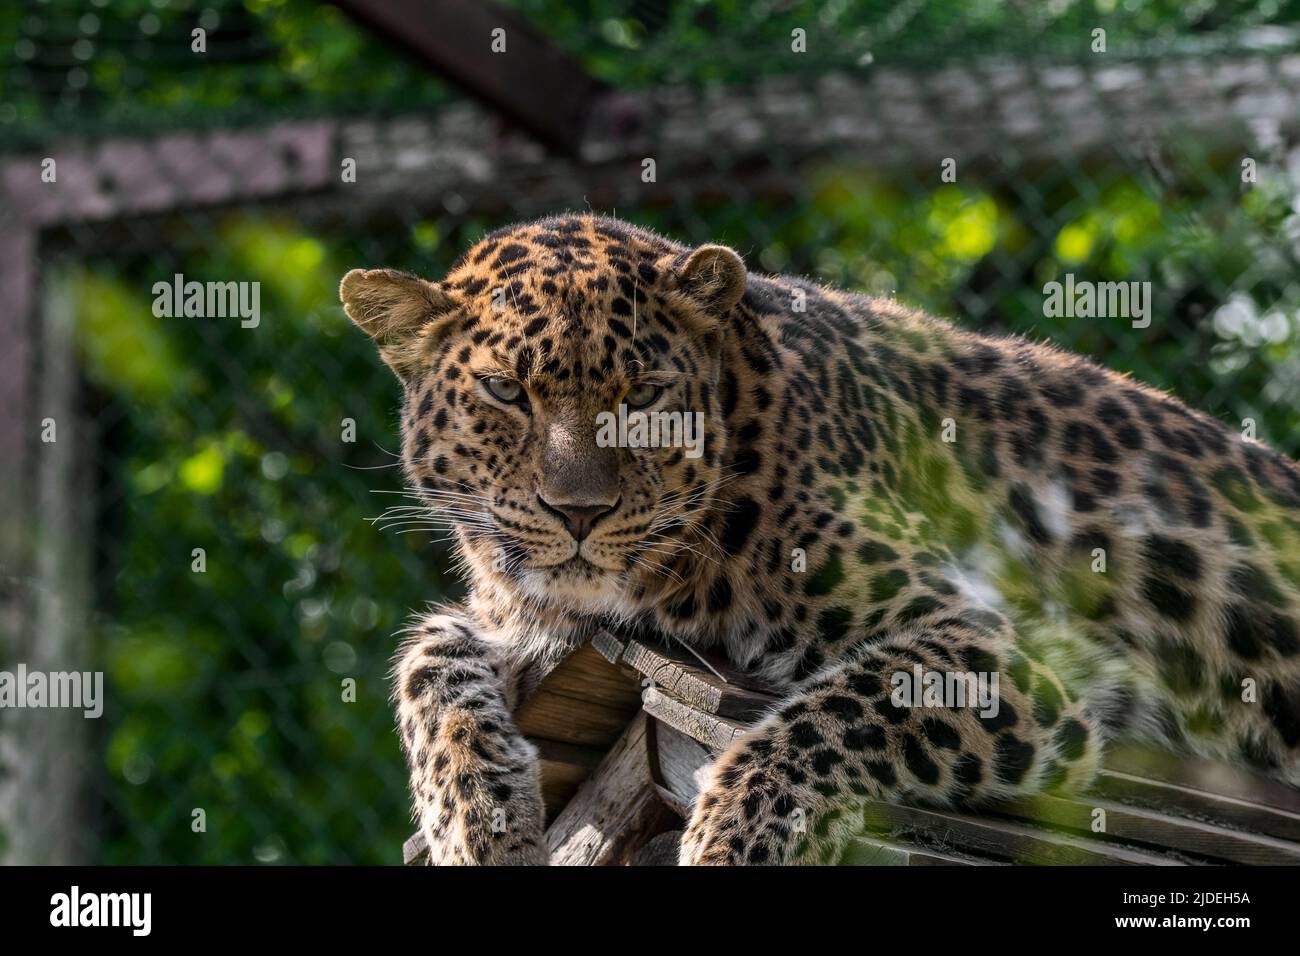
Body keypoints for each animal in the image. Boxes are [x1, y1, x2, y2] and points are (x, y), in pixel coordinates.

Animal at [340, 214, 1300, 868]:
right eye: (506, 391)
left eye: (643, 394)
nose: (580, 511)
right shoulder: (516, 610)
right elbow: (425, 658)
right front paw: (476, 819)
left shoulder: (1017, 646)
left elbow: (836, 711)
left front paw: (733, 835)